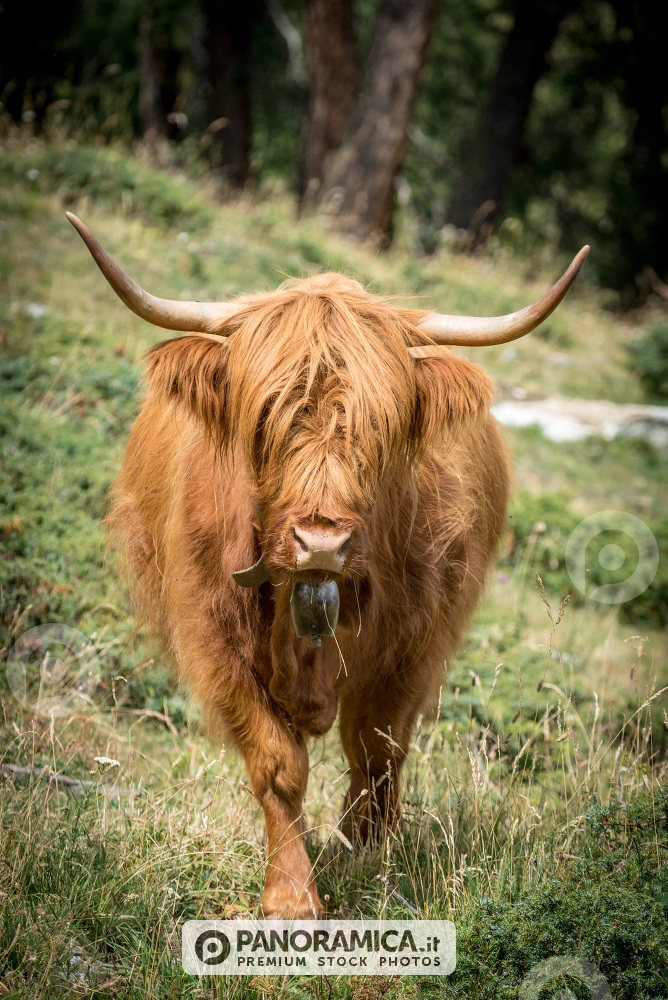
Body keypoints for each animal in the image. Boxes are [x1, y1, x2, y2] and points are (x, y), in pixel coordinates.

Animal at [67, 212, 588, 918]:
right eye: (265, 418)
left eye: (382, 426)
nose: (321, 542)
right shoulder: (215, 638)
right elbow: (277, 763)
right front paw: (291, 894)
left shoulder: (414, 643)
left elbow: (377, 746)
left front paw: (369, 853)